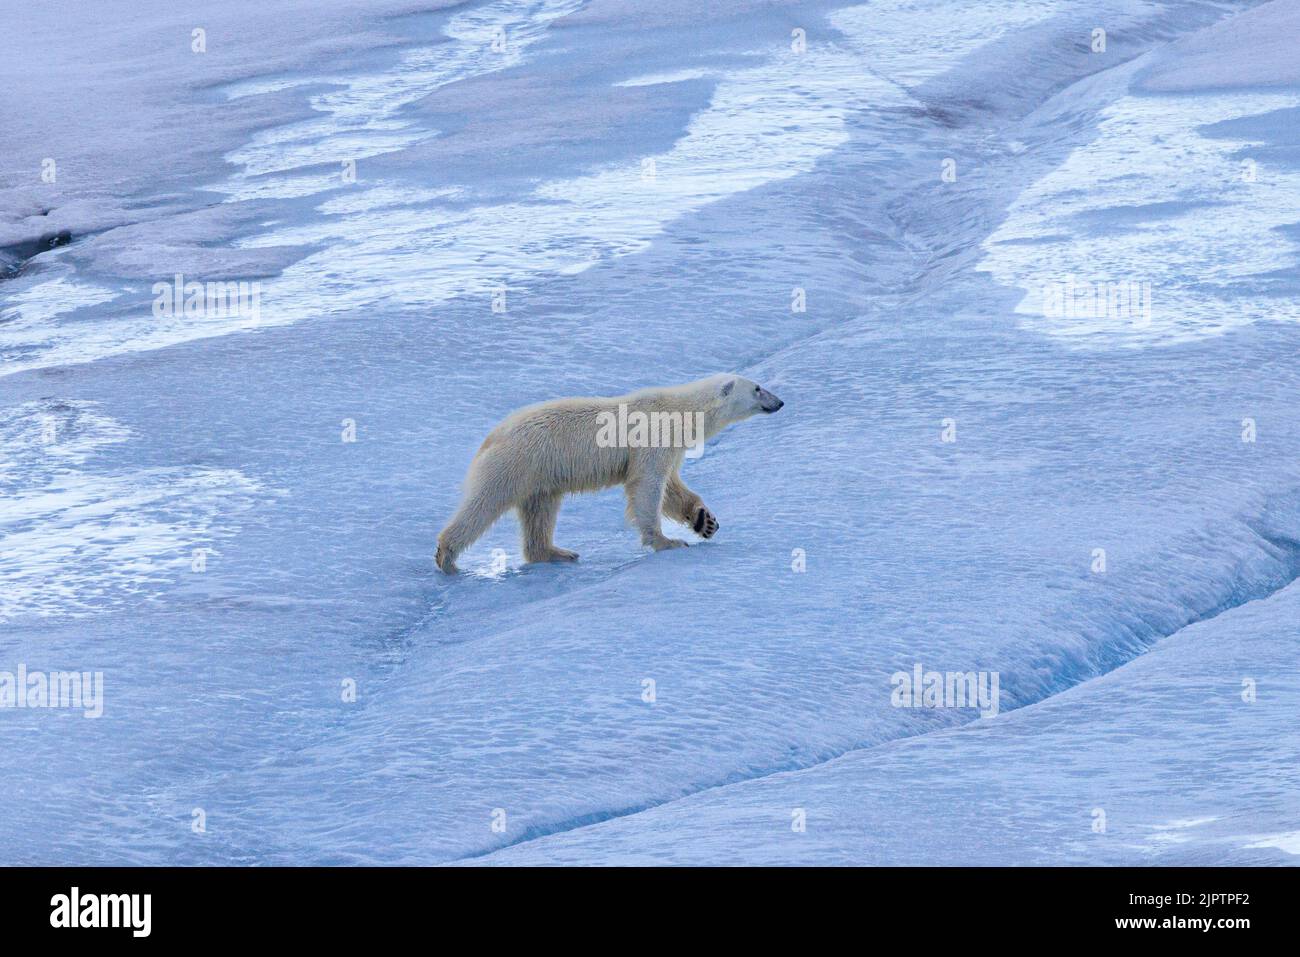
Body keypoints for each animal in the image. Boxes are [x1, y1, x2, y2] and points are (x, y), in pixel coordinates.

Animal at [434, 371, 780, 566]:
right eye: (758, 388)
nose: (779, 402)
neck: (680, 410)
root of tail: (491, 437)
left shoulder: (669, 447)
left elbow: (671, 486)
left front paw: (705, 521)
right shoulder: (652, 437)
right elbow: (647, 485)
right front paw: (667, 541)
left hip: (540, 475)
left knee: (540, 512)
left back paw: (557, 552)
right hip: (516, 462)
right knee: (484, 503)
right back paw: (446, 555)